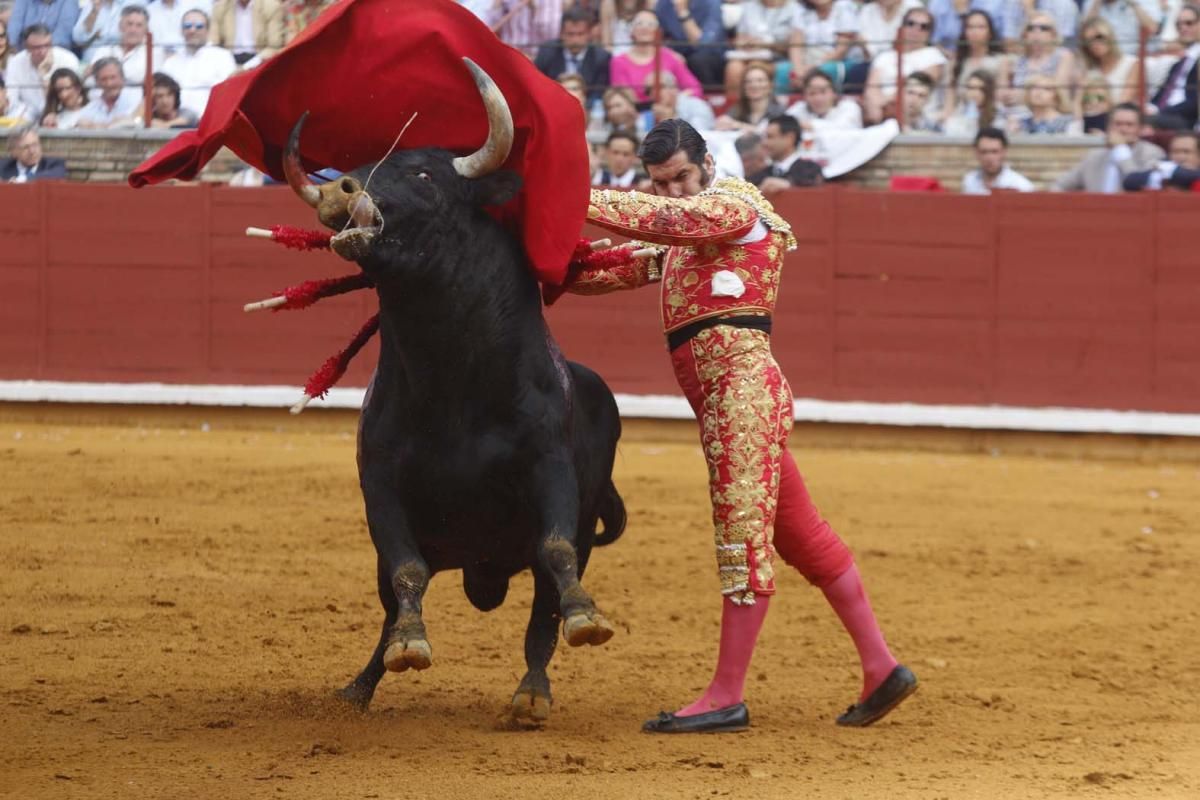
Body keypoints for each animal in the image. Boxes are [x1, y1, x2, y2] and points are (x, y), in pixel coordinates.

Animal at [284, 59, 628, 724]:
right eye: (364, 164)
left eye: (424, 172)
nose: (342, 191)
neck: (454, 383)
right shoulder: (379, 483)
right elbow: (405, 575)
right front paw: (406, 648)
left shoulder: (551, 469)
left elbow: (555, 552)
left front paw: (586, 618)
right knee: (392, 605)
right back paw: (360, 687)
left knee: (541, 614)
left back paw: (531, 695)